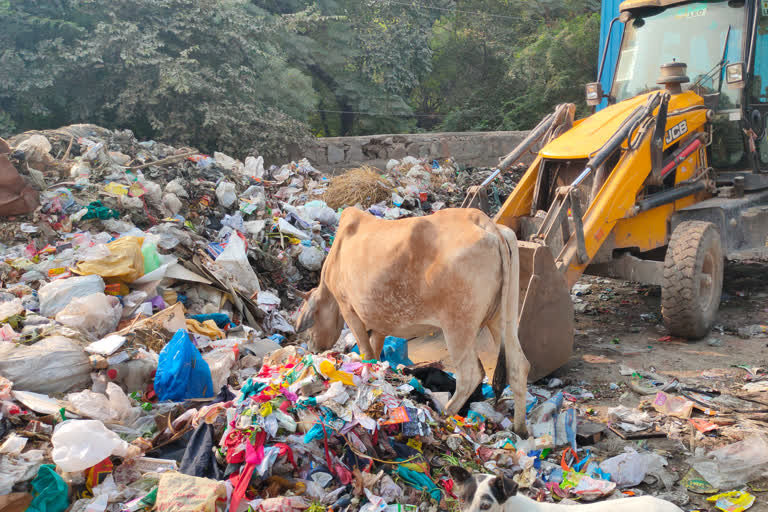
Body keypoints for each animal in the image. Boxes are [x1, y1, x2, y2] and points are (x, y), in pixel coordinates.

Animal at [294, 206, 528, 434]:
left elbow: (366, 353)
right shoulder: (380, 323)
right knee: (518, 366)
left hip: (458, 326)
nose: (313, 350)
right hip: (501, 318)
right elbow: (375, 352)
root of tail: (485, 223)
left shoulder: (349, 310)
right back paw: (520, 429)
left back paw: (445, 413)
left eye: (310, 327)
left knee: (469, 374)